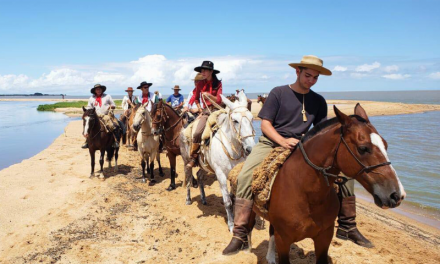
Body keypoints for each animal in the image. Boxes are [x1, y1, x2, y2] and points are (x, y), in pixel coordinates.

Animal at [180, 92, 256, 232]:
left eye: (252, 118)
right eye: (235, 120)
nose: (250, 149)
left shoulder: (235, 175)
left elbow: (234, 198)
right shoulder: (220, 175)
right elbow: (228, 201)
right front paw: (231, 225)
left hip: (205, 166)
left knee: (199, 175)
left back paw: (204, 199)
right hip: (186, 160)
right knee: (188, 178)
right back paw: (188, 199)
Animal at [246, 104, 404, 262]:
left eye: (385, 145)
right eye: (363, 148)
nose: (397, 195)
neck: (306, 195)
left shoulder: (324, 238)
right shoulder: (283, 240)